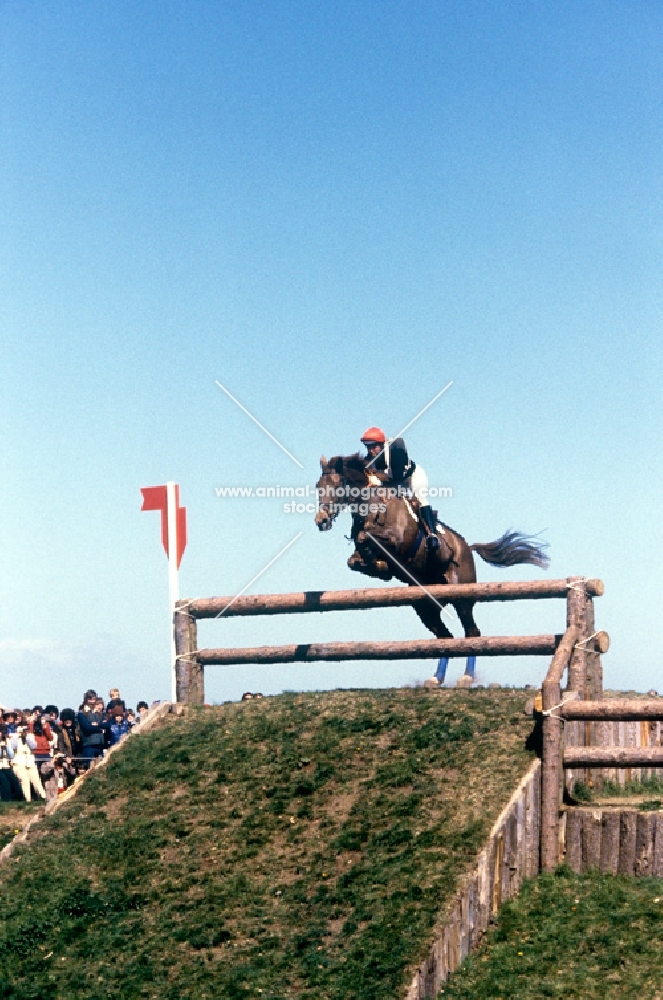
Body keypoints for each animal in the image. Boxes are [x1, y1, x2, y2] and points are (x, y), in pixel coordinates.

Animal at [316, 454, 548, 640]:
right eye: (318, 487)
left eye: (337, 486)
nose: (321, 520)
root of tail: (468, 548)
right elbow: (354, 558)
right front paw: (379, 567)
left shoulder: (395, 540)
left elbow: (364, 537)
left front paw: (380, 565)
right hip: (424, 606)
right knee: (445, 636)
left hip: (462, 597)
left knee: (471, 632)